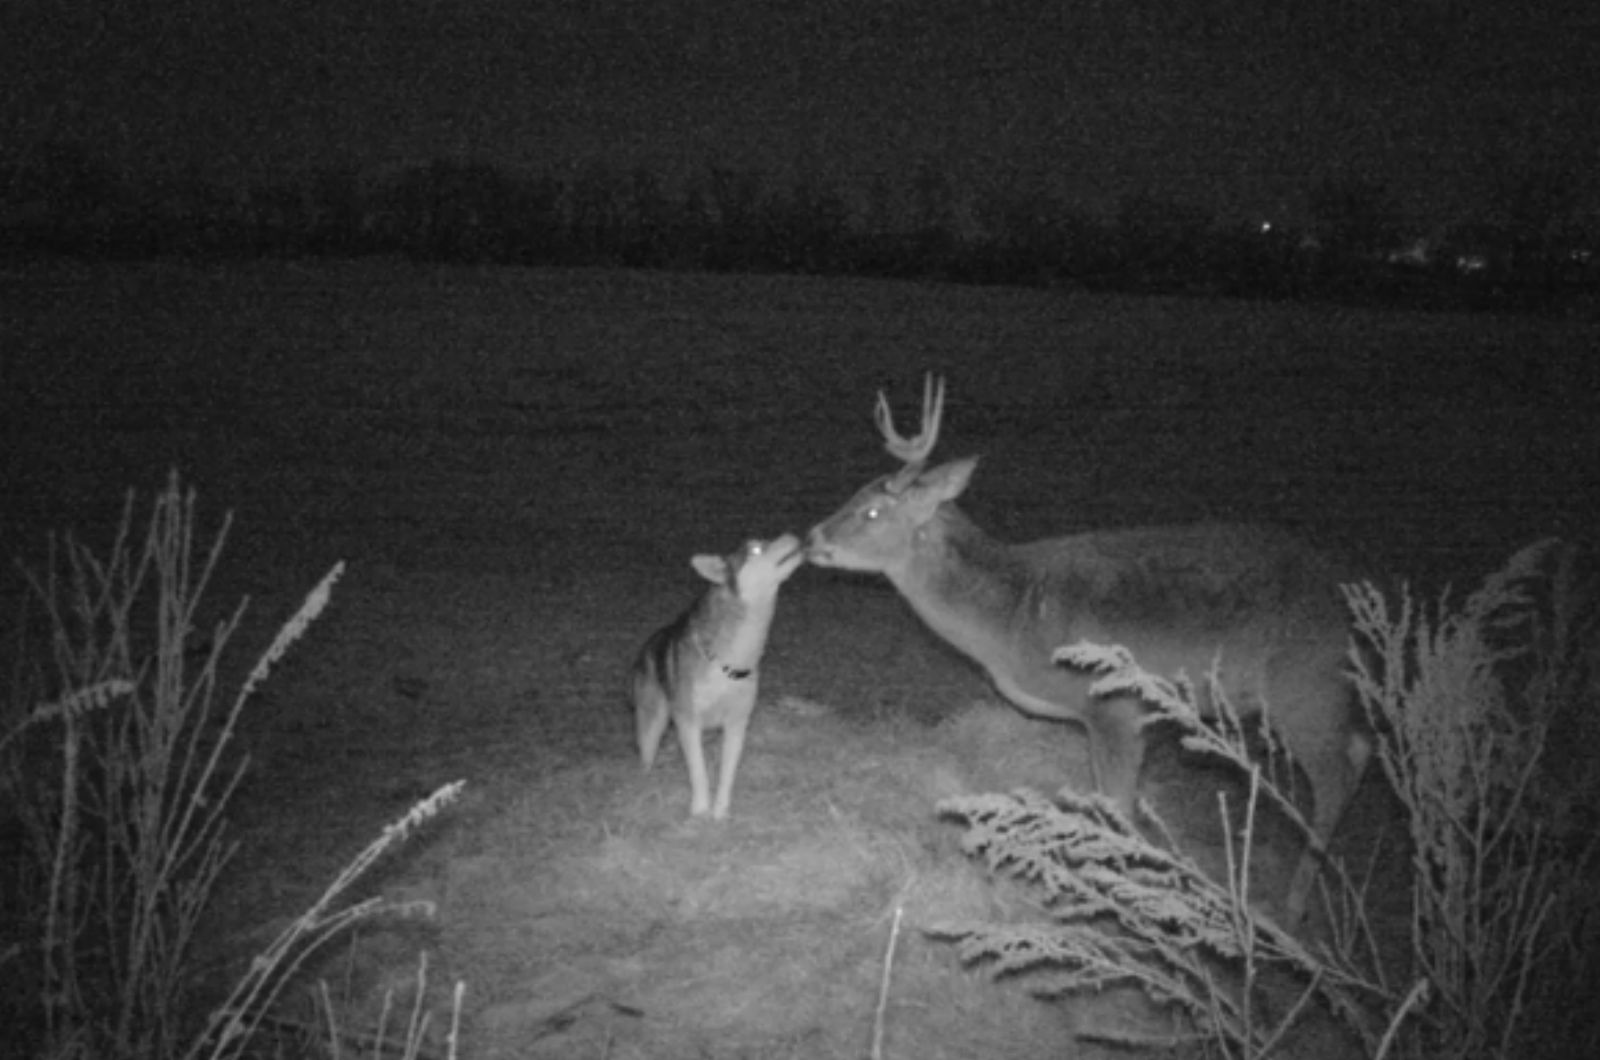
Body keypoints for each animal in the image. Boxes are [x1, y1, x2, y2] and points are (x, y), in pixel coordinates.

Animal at [624, 531, 800, 819]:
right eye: (755, 549)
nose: (792, 535)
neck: (730, 662)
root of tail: (649, 644)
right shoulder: (688, 722)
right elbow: (699, 772)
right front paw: (699, 811)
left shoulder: (737, 723)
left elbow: (726, 774)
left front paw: (720, 813)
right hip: (652, 724)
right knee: (647, 757)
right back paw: (646, 785)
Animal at [806, 377, 1369, 915]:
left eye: (872, 512)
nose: (812, 539)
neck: (1013, 617)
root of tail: (1347, 598)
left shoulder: (1117, 707)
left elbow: (1118, 809)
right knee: (1361, 747)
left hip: (1304, 684)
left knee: (1334, 778)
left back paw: (1293, 903)